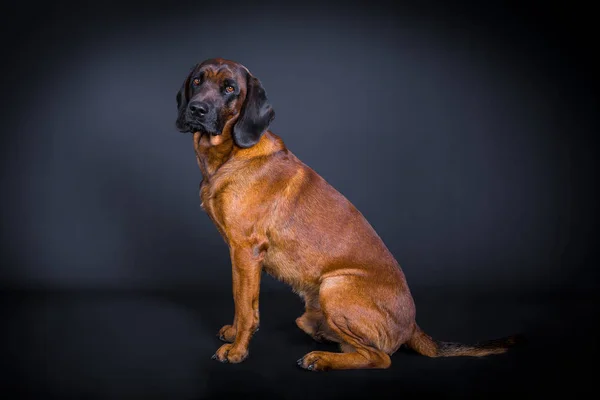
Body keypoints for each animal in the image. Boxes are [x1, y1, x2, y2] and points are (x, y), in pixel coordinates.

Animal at [175, 57, 520, 370]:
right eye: (197, 81)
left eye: (230, 89)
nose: (196, 109)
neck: (230, 154)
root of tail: (413, 327)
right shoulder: (242, 259)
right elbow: (245, 302)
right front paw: (235, 334)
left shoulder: (246, 251)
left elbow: (244, 306)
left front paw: (238, 350)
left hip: (334, 287)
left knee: (379, 358)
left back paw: (321, 359)